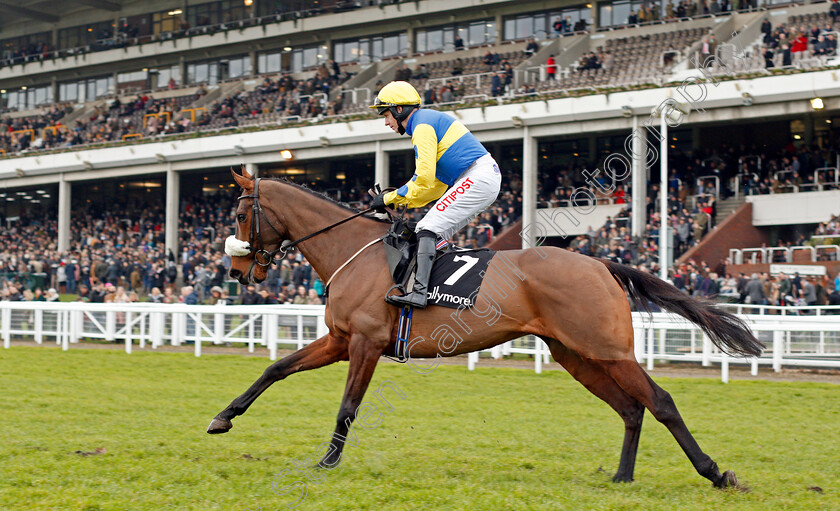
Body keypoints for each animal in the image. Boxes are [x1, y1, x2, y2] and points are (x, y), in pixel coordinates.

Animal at [208, 167, 760, 488]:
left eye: (240, 215)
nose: (235, 272)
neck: (355, 252)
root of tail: (599, 263)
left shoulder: (364, 342)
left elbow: (348, 406)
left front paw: (326, 462)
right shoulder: (340, 340)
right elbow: (276, 368)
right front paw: (223, 417)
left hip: (609, 350)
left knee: (660, 401)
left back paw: (715, 473)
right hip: (575, 354)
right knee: (630, 408)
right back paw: (622, 476)